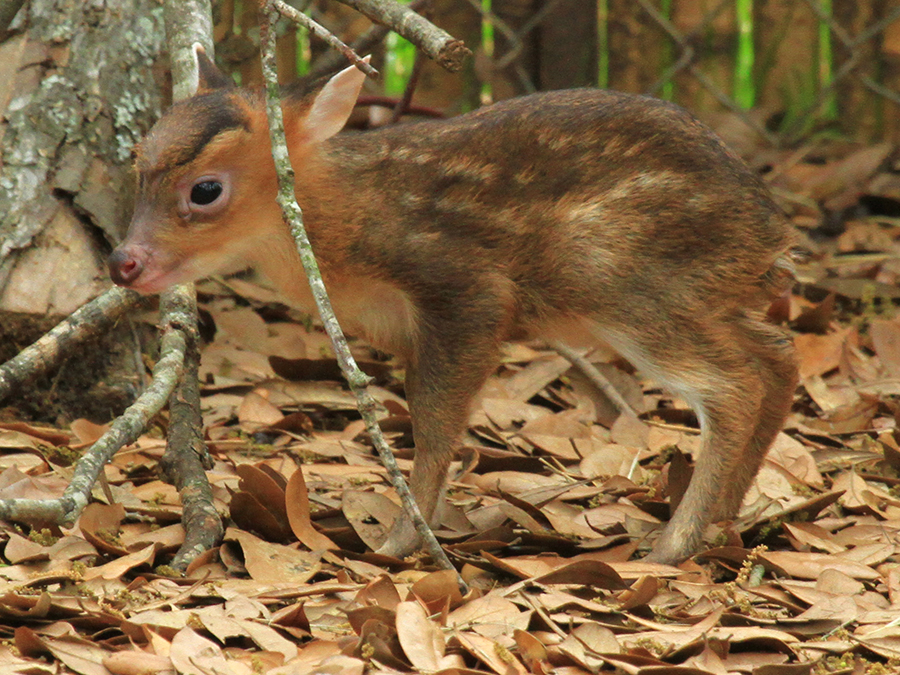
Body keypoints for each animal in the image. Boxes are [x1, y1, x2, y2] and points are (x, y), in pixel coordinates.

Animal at [109, 47, 800, 564]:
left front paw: (397, 542)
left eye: (205, 190)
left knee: (733, 386)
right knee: (778, 355)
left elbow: (436, 424)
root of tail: (770, 231)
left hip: (620, 275)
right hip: (704, 292)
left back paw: (671, 546)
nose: (124, 262)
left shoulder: (464, 289)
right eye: (137, 162)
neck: (346, 228)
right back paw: (725, 520)